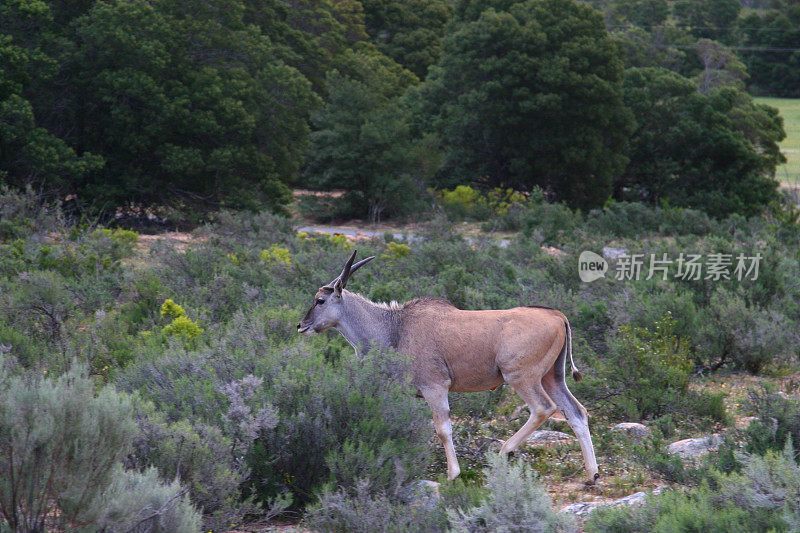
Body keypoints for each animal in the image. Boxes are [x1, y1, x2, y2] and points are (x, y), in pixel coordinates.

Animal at [296, 249, 596, 482]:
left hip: (521, 377)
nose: (301, 325)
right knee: (576, 412)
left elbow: (442, 429)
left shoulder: (435, 387)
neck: (394, 328)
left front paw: (453, 474)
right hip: (552, 378)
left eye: (320, 300)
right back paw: (592, 474)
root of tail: (557, 316)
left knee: (543, 408)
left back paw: (504, 451)